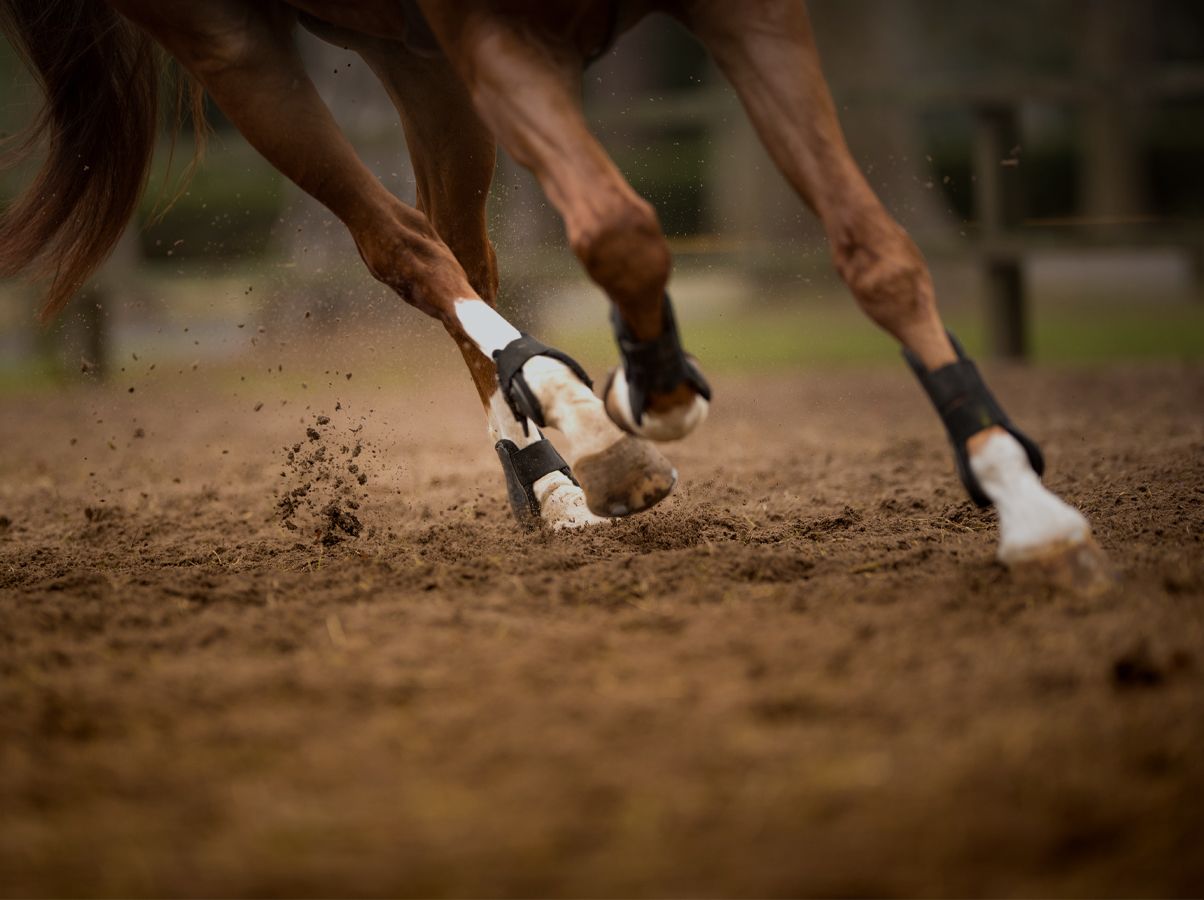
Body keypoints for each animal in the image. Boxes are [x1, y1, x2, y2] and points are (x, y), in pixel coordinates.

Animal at [0, 0, 1107, 585]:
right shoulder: (487, 30)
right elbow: (619, 231)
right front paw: (632, 398)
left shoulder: (747, 12)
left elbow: (876, 251)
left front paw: (1016, 490)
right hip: (239, 44)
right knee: (404, 247)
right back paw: (575, 422)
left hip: (416, 63)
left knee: (458, 250)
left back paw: (547, 478)